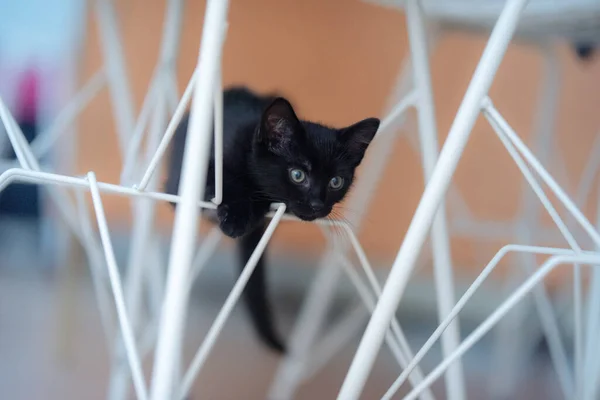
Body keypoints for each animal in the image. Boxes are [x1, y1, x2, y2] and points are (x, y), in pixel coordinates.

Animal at [165, 88, 380, 354]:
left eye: (336, 182)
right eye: (298, 175)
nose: (317, 204)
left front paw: (247, 212)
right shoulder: (181, 182)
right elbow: (222, 180)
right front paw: (234, 215)